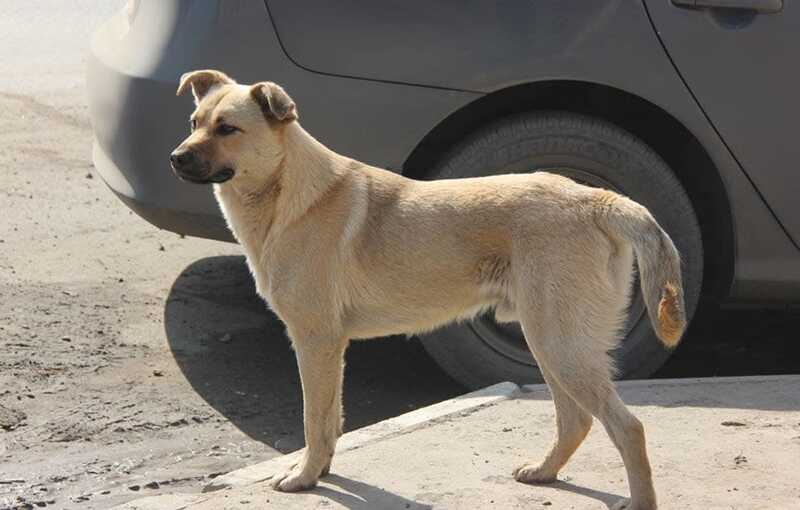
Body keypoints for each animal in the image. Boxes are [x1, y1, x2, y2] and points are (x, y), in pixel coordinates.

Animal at [172, 68, 684, 510]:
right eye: (195, 123)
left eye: (227, 129)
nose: (176, 158)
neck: (287, 192)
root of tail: (596, 200)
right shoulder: (330, 349)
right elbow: (332, 422)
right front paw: (322, 471)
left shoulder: (315, 342)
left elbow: (314, 421)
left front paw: (304, 477)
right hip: (551, 344)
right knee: (576, 420)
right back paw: (543, 472)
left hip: (561, 346)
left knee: (628, 427)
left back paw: (639, 500)